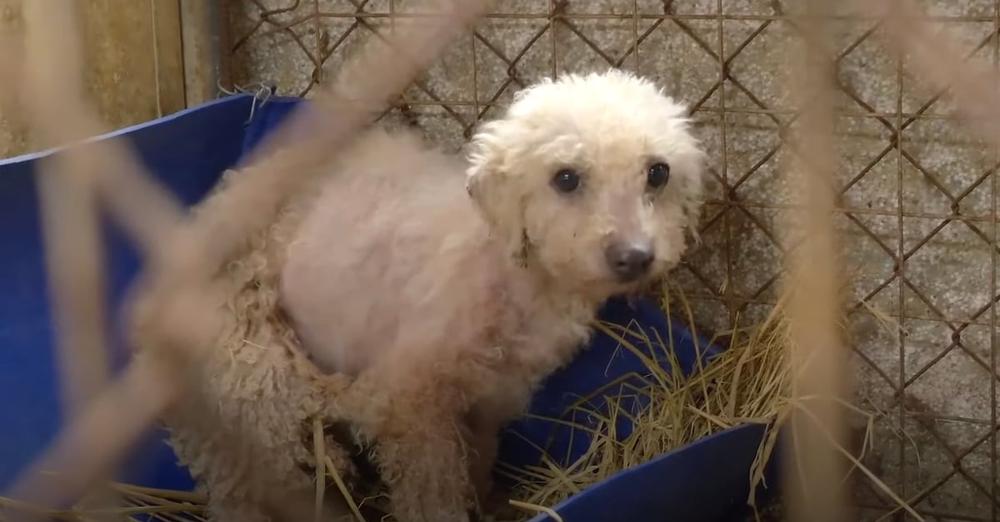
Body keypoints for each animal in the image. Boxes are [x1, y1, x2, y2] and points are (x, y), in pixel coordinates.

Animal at [278, 69, 708, 520]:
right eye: (566, 177)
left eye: (658, 173)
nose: (635, 257)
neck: (511, 276)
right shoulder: (411, 404)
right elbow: (433, 494)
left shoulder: (491, 402)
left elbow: (479, 461)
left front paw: (485, 501)